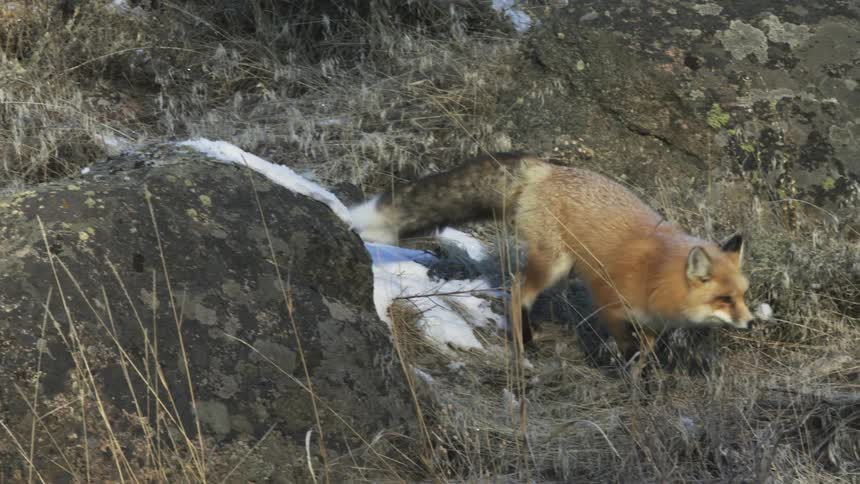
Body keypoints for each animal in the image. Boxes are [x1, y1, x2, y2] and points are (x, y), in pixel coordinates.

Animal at [349, 152, 754, 362]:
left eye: (743, 296)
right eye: (724, 299)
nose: (751, 323)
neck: (658, 273)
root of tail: (545, 167)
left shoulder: (652, 323)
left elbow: (647, 354)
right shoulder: (608, 302)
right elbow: (625, 346)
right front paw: (626, 371)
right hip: (554, 265)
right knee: (516, 291)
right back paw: (523, 345)